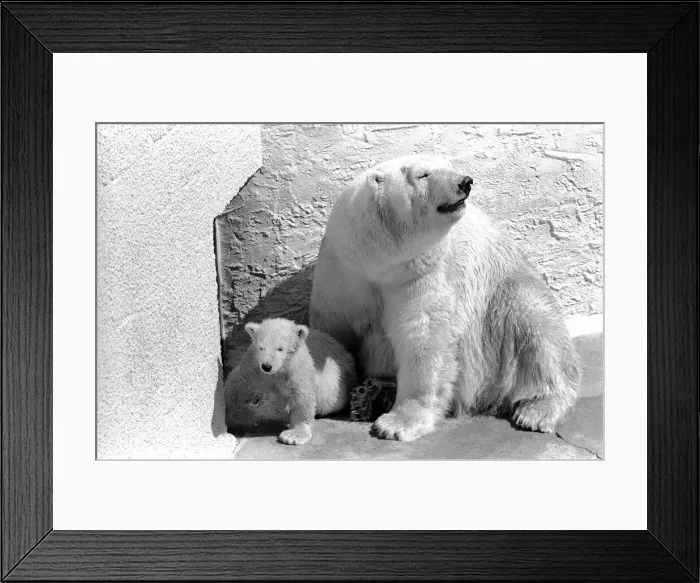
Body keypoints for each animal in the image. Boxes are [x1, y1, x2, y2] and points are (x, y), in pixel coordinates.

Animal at [309, 153, 580, 442]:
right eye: (422, 174)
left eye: (448, 166)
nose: (465, 182)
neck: (377, 263)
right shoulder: (341, 272)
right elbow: (333, 331)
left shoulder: (424, 271)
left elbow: (424, 337)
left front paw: (396, 425)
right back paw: (372, 393)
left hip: (498, 308)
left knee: (536, 327)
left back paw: (537, 411)